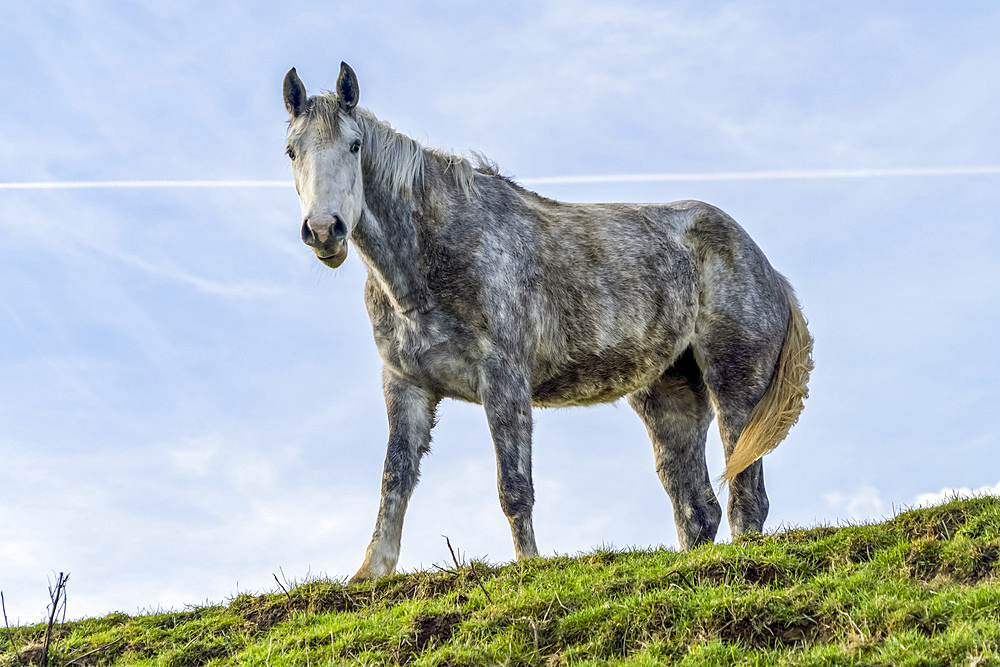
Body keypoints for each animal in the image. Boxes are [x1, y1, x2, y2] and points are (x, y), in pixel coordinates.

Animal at [282, 64, 812, 584]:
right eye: (292, 150)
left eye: (355, 145)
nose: (324, 231)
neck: (429, 262)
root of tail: (769, 269)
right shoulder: (406, 384)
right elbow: (395, 476)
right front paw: (370, 572)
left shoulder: (504, 379)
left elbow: (514, 486)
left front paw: (529, 565)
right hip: (669, 399)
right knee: (696, 508)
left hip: (734, 384)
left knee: (746, 493)